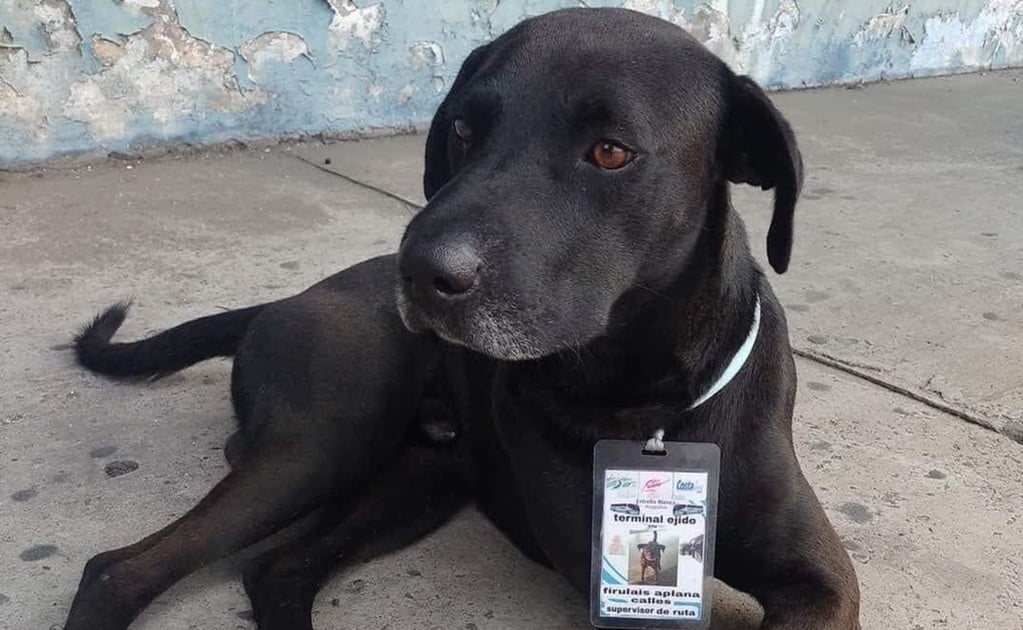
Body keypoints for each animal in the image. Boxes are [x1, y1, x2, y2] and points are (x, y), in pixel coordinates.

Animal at [63, 6, 859, 630]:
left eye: (610, 151)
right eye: (465, 131)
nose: (420, 271)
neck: (651, 406)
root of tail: (289, 299)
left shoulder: (818, 579)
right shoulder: (611, 584)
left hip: (420, 480)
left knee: (278, 570)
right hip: (323, 441)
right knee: (117, 570)